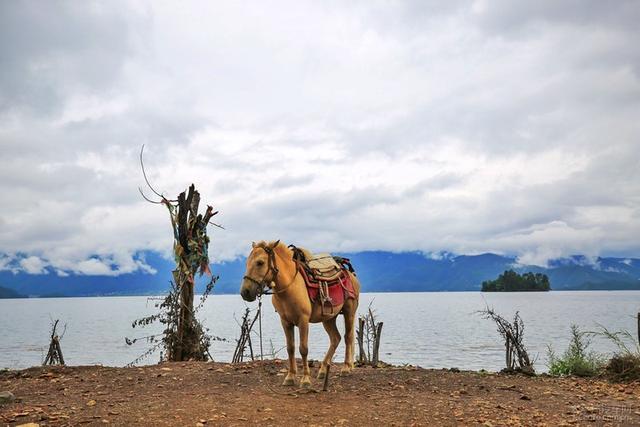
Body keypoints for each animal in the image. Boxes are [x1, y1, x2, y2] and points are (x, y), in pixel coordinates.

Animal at [239, 241, 360, 388]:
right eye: (246, 263)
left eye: (260, 262)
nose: (245, 292)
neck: (290, 287)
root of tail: (349, 273)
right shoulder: (285, 322)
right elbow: (290, 348)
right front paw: (290, 377)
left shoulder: (303, 320)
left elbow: (303, 349)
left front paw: (306, 379)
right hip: (329, 318)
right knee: (335, 338)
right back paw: (323, 370)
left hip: (349, 312)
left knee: (348, 337)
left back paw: (346, 368)